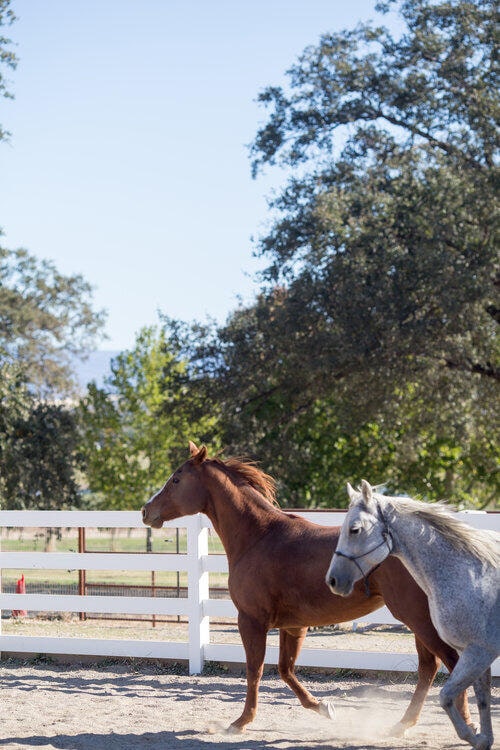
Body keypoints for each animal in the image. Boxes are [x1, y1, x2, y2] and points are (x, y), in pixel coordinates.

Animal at [141, 444, 468, 736]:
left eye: (176, 479)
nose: (146, 511)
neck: (259, 536)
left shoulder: (251, 620)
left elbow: (255, 670)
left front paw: (240, 722)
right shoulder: (294, 626)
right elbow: (286, 670)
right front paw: (325, 707)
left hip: (416, 617)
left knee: (450, 663)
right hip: (417, 619)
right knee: (429, 667)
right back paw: (402, 725)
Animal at [326, 482, 498, 750]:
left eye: (354, 529)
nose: (333, 580)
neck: (471, 575)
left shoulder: (479, 652)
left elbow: (446, 696)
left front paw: (472, 736)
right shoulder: (473, 653)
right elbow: (482, 698)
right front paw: (484, 739)